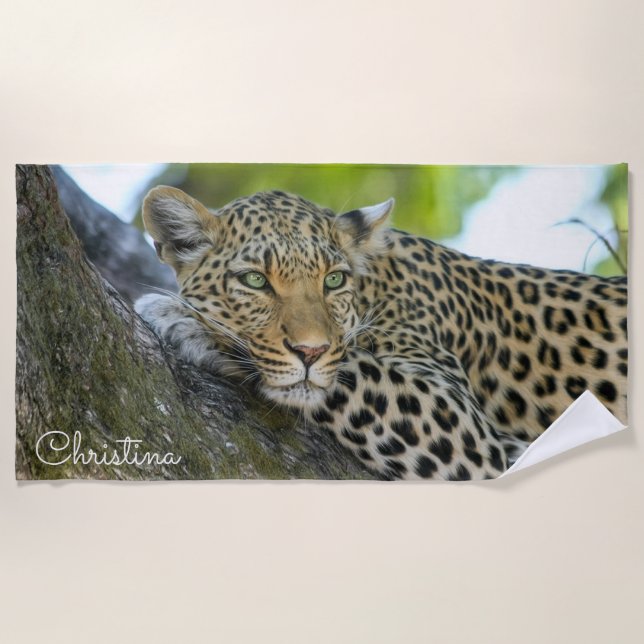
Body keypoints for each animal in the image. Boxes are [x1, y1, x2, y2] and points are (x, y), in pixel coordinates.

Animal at [134, 185, 628, 480]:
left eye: (333, 280)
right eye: (255, 281)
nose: (310, 351)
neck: (375, 288)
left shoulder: (470, 430)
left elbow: (350, 369)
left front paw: (185, 320)